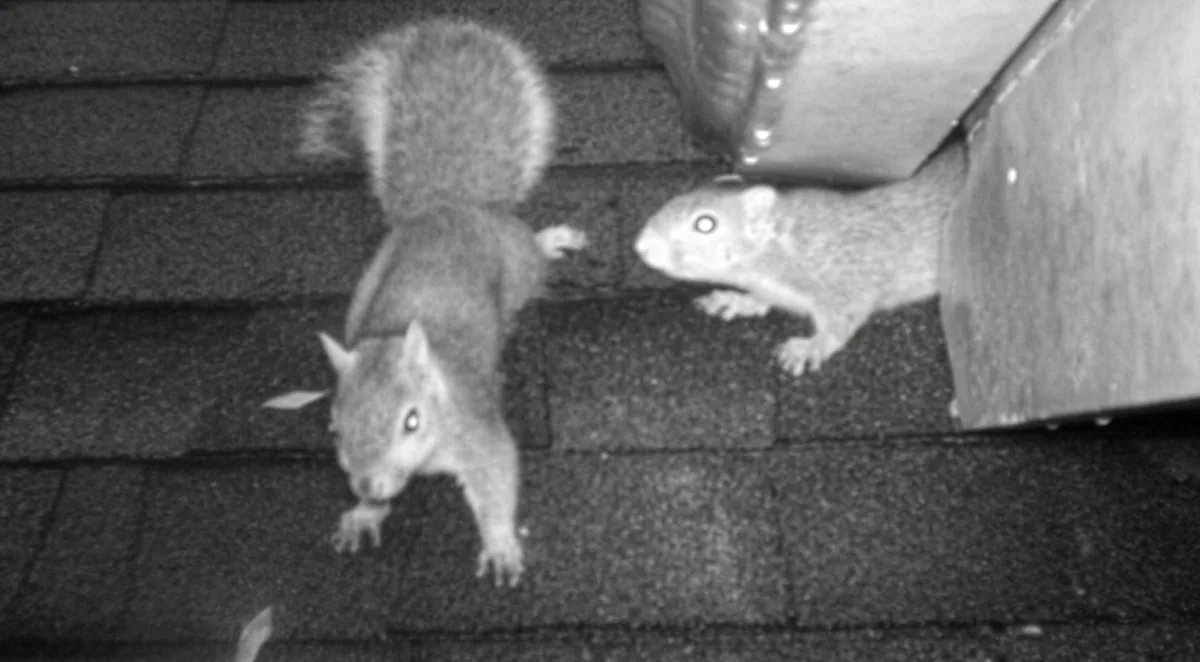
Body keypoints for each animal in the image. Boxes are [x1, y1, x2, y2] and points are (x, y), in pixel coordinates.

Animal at [298, 18, 587, 588]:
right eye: (334, 427)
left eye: (411, 420)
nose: (367, 484)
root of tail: (448, 206)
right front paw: (365, 514)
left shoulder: (477, 430)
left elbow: (497, 477)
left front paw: (499, 546)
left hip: (518, 265)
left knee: (531, 254)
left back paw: (549, 242)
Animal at [633, 138, 966, 376]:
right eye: (676, 199)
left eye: (705, 224)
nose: (642, 246)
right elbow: (760, 300)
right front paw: (735, 300)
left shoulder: (845, 274)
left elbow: (843, 320)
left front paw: (810, 347)